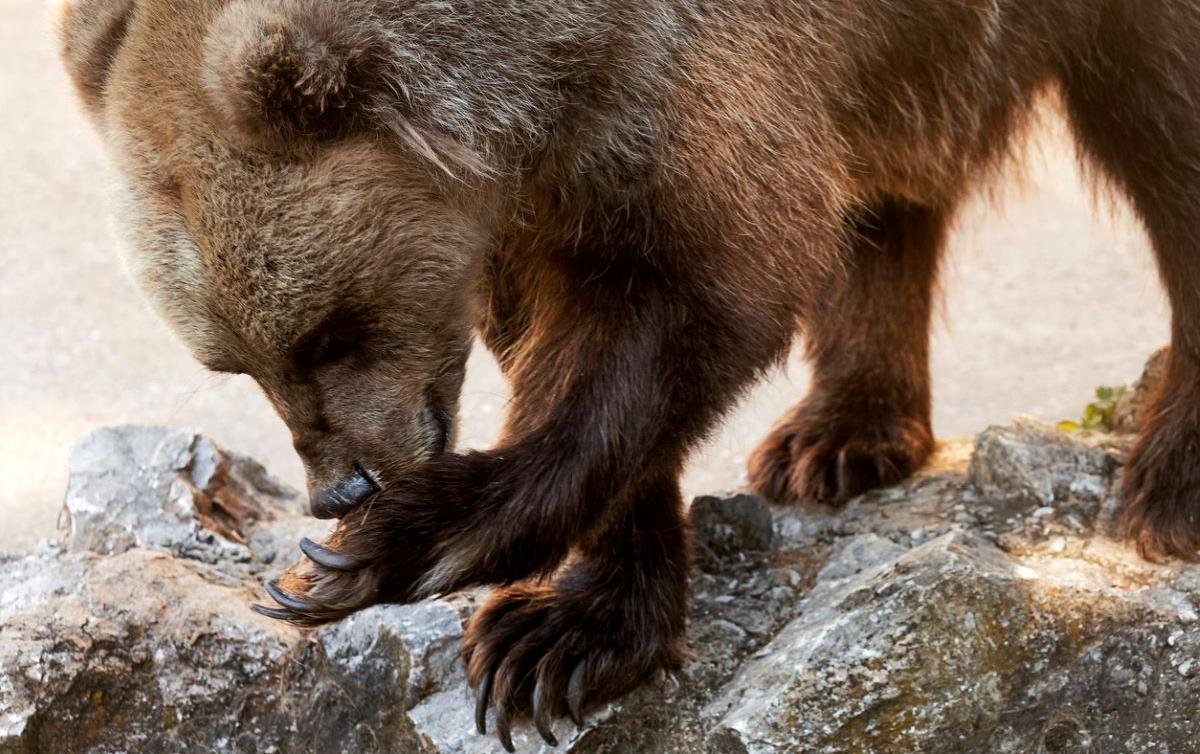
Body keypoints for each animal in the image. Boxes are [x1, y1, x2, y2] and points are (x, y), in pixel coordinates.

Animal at [59, 0, 1200, 748]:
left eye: (327, 332)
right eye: (233, 360)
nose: (341, 487)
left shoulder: (694, 79)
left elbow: (693, 293)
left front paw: (400, 550)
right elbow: (559, 332)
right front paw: (572, 628)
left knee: (1165, 129)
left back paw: (1170, 481)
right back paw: (839, 431)